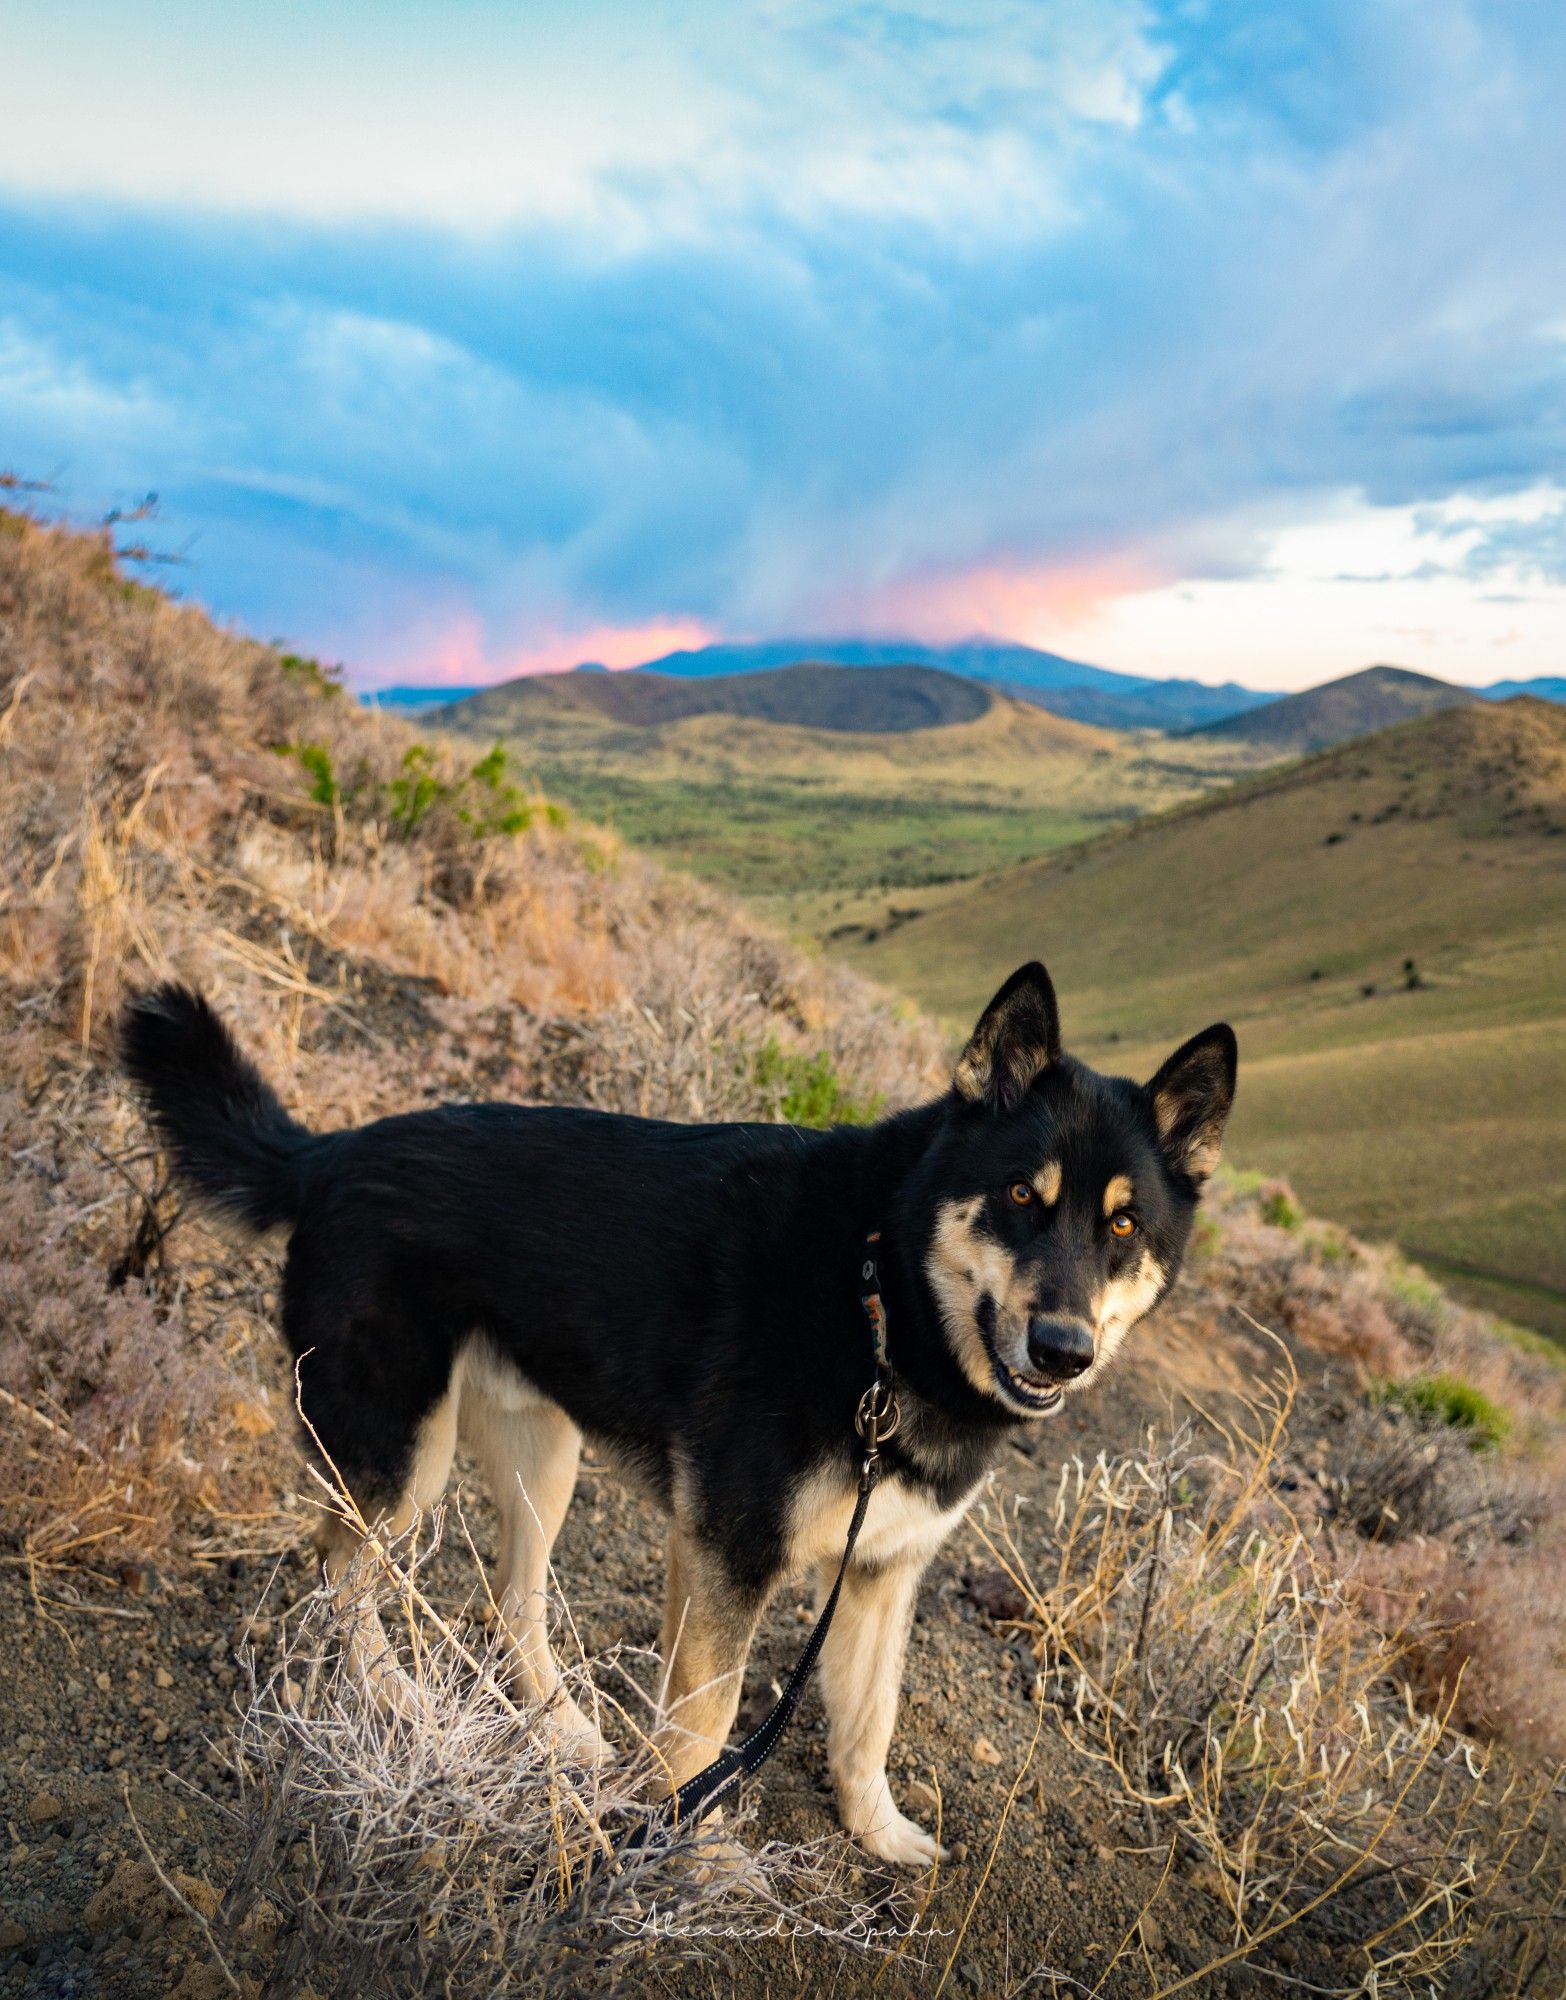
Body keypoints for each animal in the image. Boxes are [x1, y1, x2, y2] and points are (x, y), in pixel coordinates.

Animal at [122, 960, 1232, 1864]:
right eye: (1018, 1196)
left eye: (1123, 1226)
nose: (1064, 1348)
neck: (882, 1295)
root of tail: (329, 1152)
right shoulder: (729, 1551)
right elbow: (704, 1725)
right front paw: (686, 1859)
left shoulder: (881, 1572)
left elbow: (867, 1719)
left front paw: (877, 1833)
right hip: (401, 1456)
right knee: (341, 1575)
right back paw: (393, 1697)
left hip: (541, 1451)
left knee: (511, 1597)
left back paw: (564, 1726)